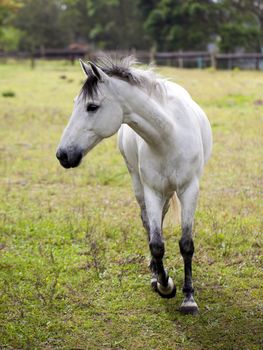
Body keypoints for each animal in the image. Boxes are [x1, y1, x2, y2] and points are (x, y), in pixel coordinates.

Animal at [56, 56, 213, 314]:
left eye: (92, 107)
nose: (62, 155)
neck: (168, 136)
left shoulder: (190, 189)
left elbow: (186, 244)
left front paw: (189, 298)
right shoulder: (151, 190)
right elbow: (156, 243)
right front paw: (164, 285)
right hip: (140, 186)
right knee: (148, 223)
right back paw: (155, 272)